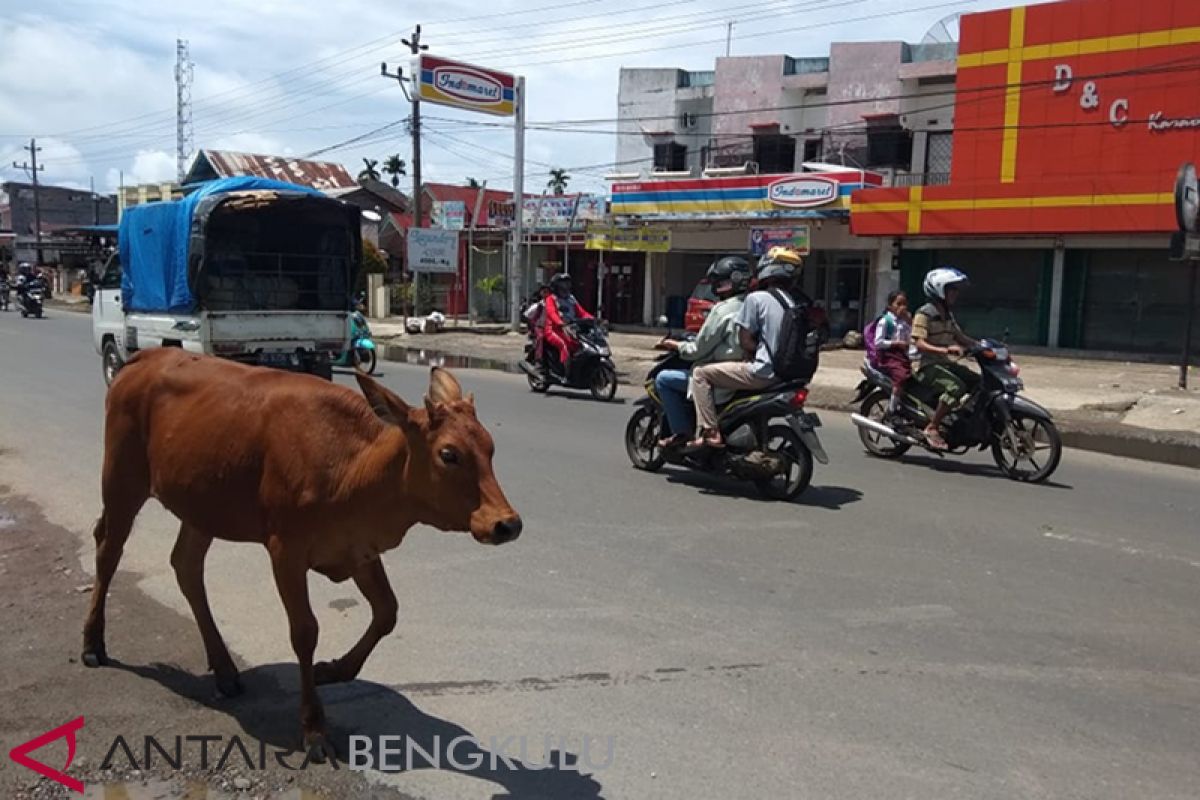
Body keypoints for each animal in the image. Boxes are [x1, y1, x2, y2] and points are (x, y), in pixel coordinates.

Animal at [79, 347, 520, 758]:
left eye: (491, 448)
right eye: (448, 454)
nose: (507, 524)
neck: (353, 468)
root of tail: (146, 356)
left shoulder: (358, 549)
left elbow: (387, 612)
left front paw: (333, 669)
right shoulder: (285, 550)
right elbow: (305, 631)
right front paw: (314, 729)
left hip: (201, 504)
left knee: (186, 567)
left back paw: (224, 670)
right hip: (122, 479)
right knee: (108, 549)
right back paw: (93, 643)